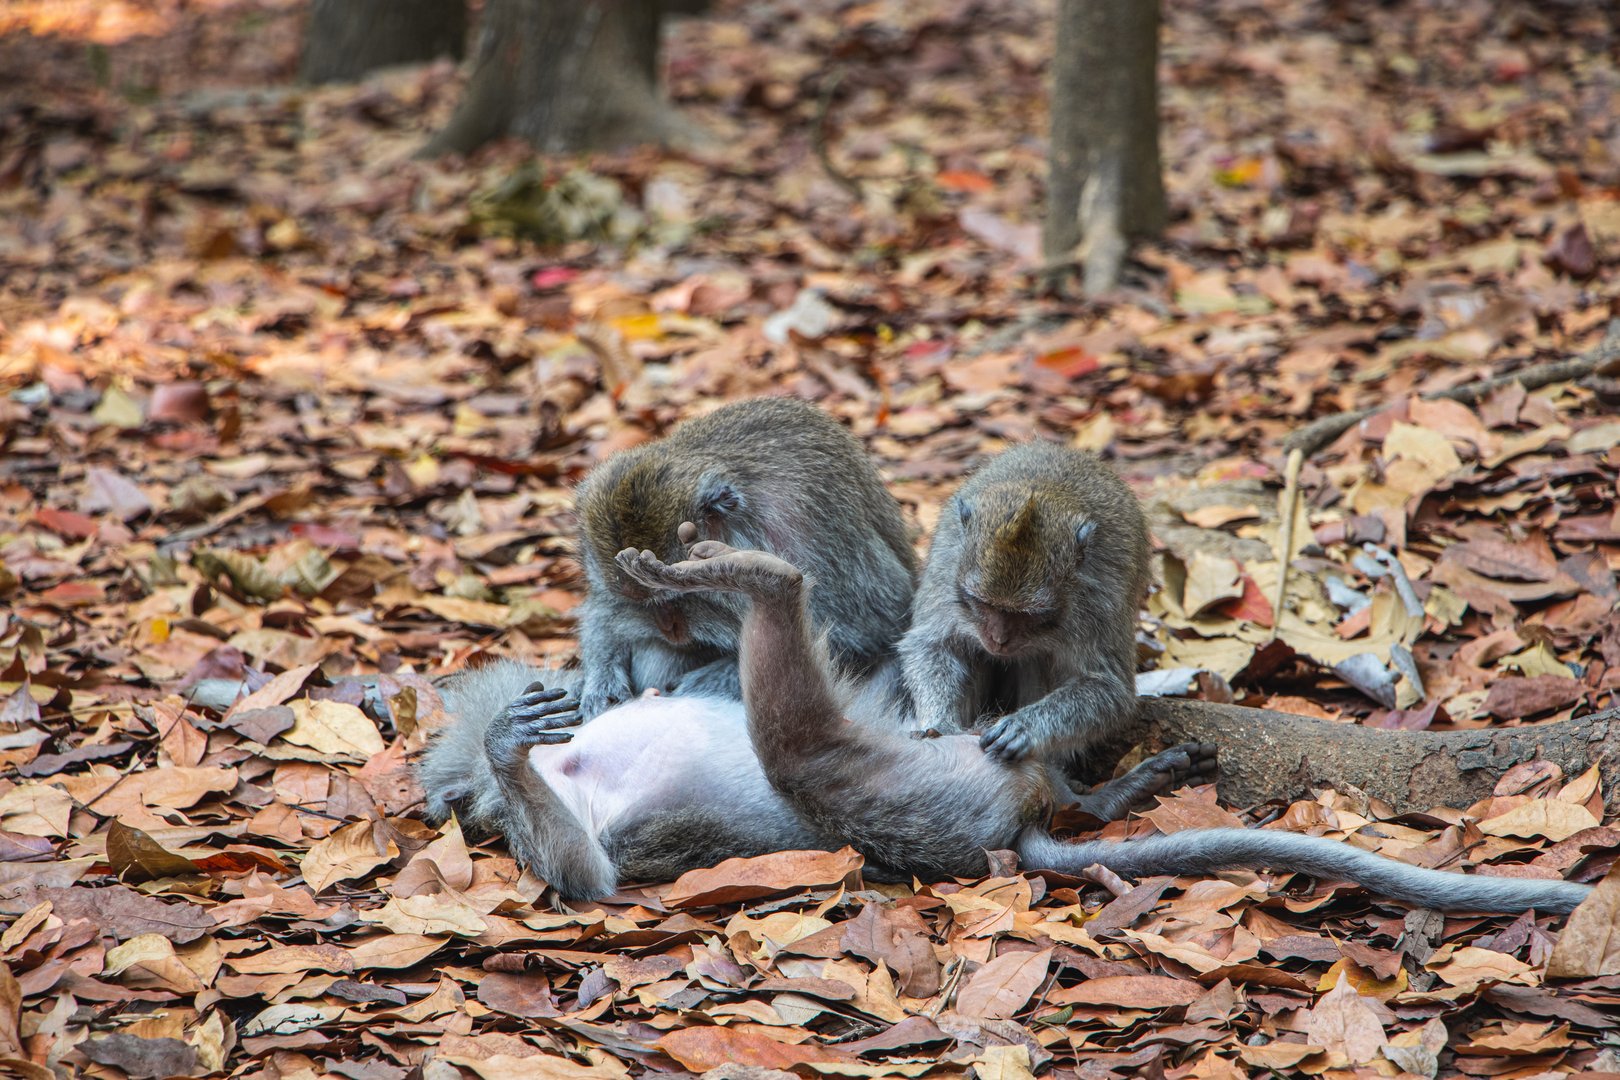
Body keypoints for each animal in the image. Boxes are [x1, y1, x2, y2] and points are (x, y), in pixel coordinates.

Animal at [417, 527, 1594, 919]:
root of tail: (1009, 829)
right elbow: (589, 877)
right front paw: (504, 748)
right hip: (871, 777)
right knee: (790, 711)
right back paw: (754, 579)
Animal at [573, 396, 920, 718]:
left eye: (679, 598)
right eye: (645, 605)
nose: (670, 630)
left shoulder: (808, 540)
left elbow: (863, 635)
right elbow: (604, 611)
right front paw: (600, 678)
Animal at [900, 443, 1153, 764]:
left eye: (1030, 614)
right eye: (982, 603)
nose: (998, 639)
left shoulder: (1100, 602)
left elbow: (1108, 689)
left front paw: (1024, 728)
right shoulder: (946, 570)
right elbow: (932, 645)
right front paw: (939, 724)